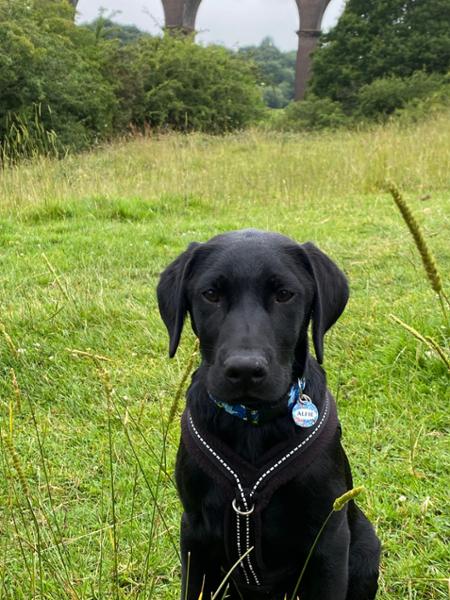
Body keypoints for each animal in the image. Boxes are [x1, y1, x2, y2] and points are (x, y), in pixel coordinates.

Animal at [158, 230, 380, 600]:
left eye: (284, 295)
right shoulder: (195, 535)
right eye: (211, 294)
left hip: (365, 546)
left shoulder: (328, 541)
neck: (252, 422)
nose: (245, 370)